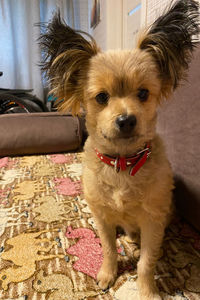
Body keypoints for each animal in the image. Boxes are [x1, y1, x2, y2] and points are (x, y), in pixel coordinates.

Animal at [39, 1, 199, 298]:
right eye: (102, 97)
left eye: (143, 93)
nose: (126, 120)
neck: (123, 164)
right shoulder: (102, 219)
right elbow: (109, 249)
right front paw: (107, 273)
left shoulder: (153, 221)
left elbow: (147, 261)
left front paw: (147, 291)